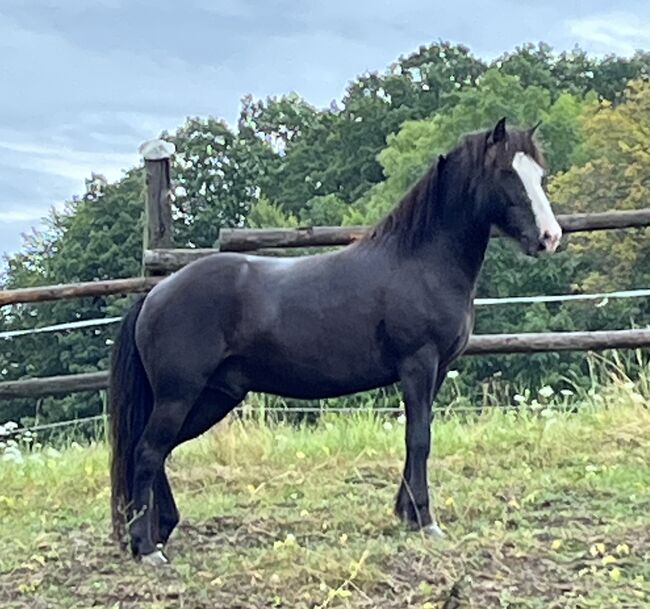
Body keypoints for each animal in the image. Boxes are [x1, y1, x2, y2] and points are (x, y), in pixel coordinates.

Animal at [109, 116, 560, 564]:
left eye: (538, 174)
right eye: (505, 173)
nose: (550, 237)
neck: (420, 262)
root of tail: (156, 292)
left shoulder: (437, 371)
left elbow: (418, 435)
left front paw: (407, 514)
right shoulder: (418, 365)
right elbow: (419, 439)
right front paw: (426, 521)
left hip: (213, 397)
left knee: (157, 452)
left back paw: (160, 530)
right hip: (180, 395)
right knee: (147, 452)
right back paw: (147, 548)